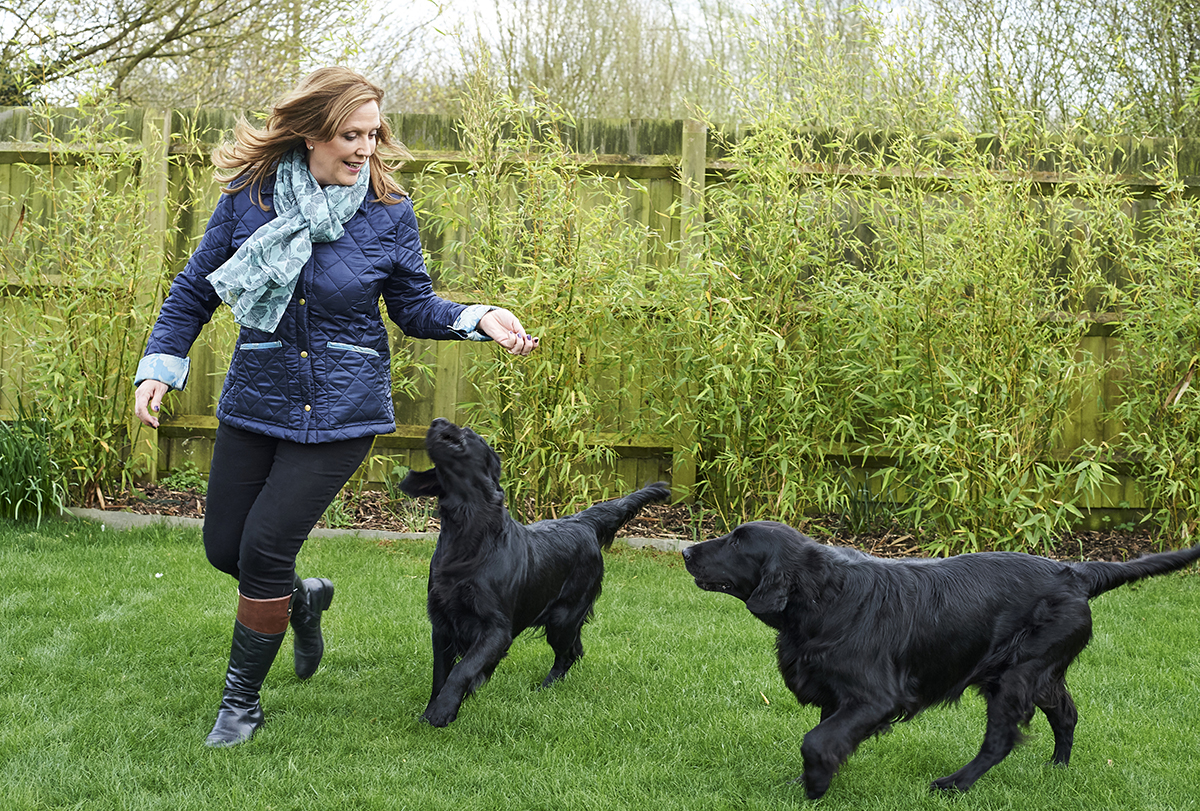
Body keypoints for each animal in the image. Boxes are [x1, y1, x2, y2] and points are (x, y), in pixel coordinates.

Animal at [400, 422, 667, 724]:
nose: (437, 422)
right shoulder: (442, 623)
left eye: (468, 431)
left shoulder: (496, 629)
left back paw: (546, 687)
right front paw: (433, 710)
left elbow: (462, 670)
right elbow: (441, 674)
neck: (468, 536)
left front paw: (442, 711)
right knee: (577, 649)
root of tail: (582, 521)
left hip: (563, 618)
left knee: (568, 654)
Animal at [686, 520, 1200, 796]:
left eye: (737, 542)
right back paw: (1057, 768)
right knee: (1067, 714)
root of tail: (1075, 571)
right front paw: (811, 780)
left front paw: (815, 785)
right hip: (1036, 673)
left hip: (1015, 677)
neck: (824, 597)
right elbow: (829, 739)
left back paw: (955, 784)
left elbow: (816, 741)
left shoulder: (876, 697)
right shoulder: (837, 696)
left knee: (1000, 741)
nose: (688, 550)